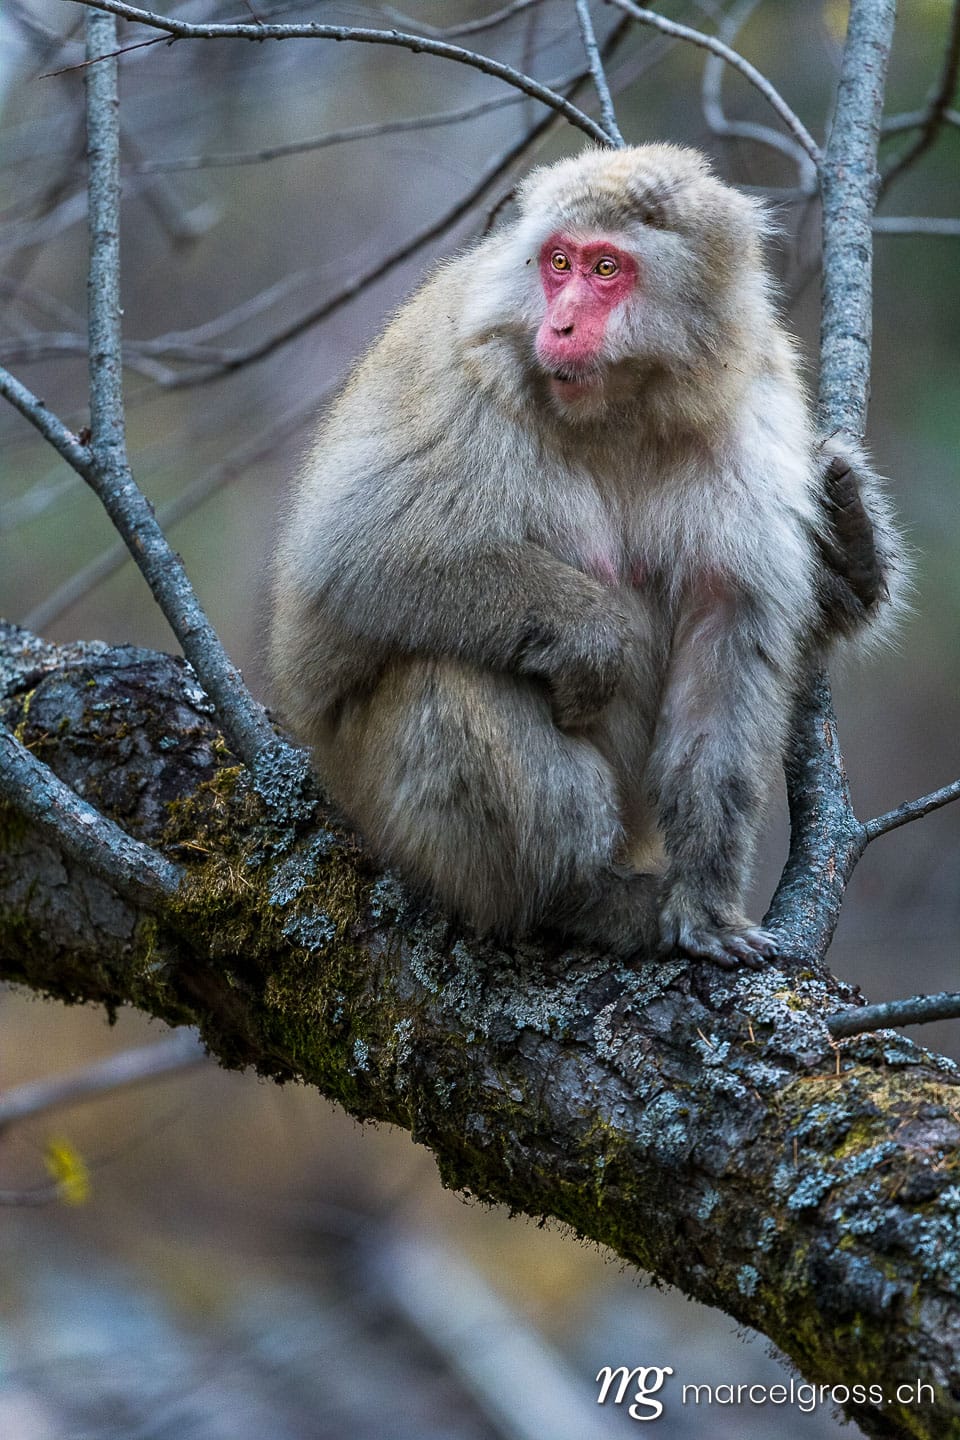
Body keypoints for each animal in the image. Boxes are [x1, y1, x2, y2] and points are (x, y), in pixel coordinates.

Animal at [269, 144, 905, 970]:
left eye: (607, 269)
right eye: (559, 261)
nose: (562, 323)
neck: (622, 411)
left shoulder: (753, 417)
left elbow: (727, 637)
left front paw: (706, 902)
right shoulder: (461, 380)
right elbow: (355, 560)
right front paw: (596, 639)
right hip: (380, 802)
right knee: (447, 674)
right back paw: (573, 897)